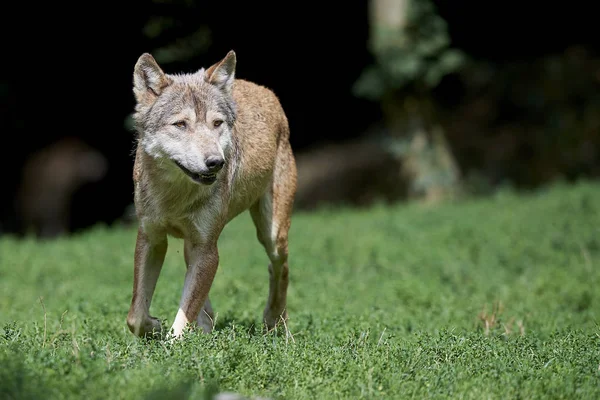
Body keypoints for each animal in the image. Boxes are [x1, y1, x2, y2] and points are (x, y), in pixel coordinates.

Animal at [126, 48, 298, 340]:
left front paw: (173, 342)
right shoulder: (151, 238)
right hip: (192, 246)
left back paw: (275, 322)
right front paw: (154, 325)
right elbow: (136, 316)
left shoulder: (207, 248)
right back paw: (207, 326)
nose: (216, 162)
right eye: (180, 125)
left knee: (279, 268)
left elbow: (181, 321)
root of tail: (264, 90)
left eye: (216, 123)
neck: (175, 197)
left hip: (272, 236)